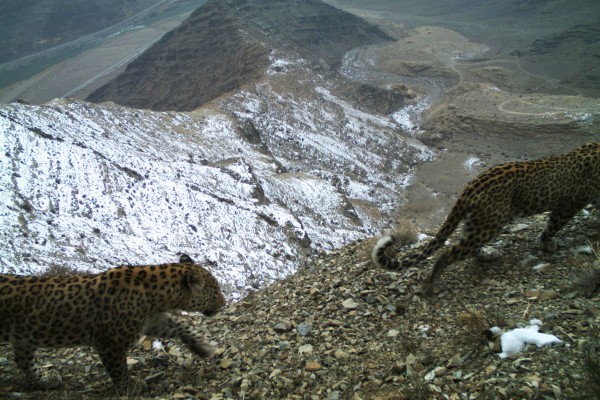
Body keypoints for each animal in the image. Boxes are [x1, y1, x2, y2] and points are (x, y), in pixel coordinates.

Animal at [0, 255, 225, 390]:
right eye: (215, 292)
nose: (223, 303)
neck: (156, 295)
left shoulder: (152, 321)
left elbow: (179, 325)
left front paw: (201, 347)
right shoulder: (110, 343)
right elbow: (119, 370)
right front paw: (131, 387)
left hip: (24, 336)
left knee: (23, 361)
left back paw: (47, 380)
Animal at [370, 142, 600, 296]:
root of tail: (470, 186)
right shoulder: (569, 205)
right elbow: (552, 226)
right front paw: (547, 244)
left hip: (478, 222)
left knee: (467, 246)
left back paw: (487, 254)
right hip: (490, 225)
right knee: (448, 252)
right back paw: (430, 283)